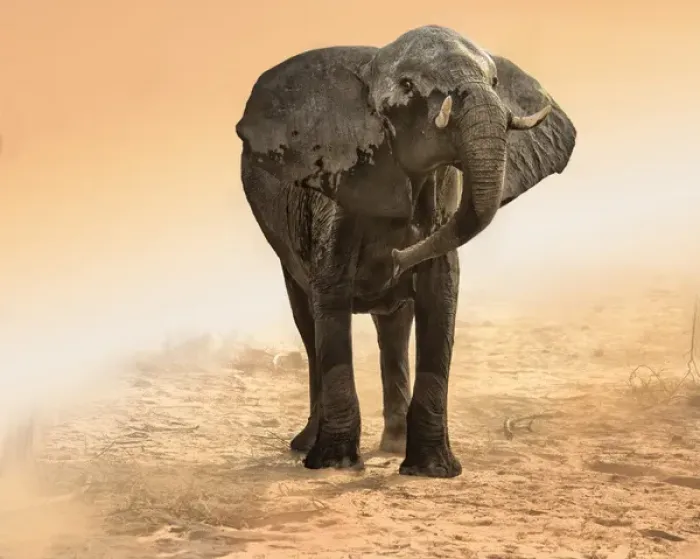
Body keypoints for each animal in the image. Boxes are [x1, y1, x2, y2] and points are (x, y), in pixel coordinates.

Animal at [235, 25, 576, 478]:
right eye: (409, 87)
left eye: (495, 81)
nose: (395, 259)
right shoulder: (336, 193)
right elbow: (331, 296)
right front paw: (336, 465)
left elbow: (440, 294)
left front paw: (433, 470)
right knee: (308, 323)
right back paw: (306, 447)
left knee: (394, 328)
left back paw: (394, 445)